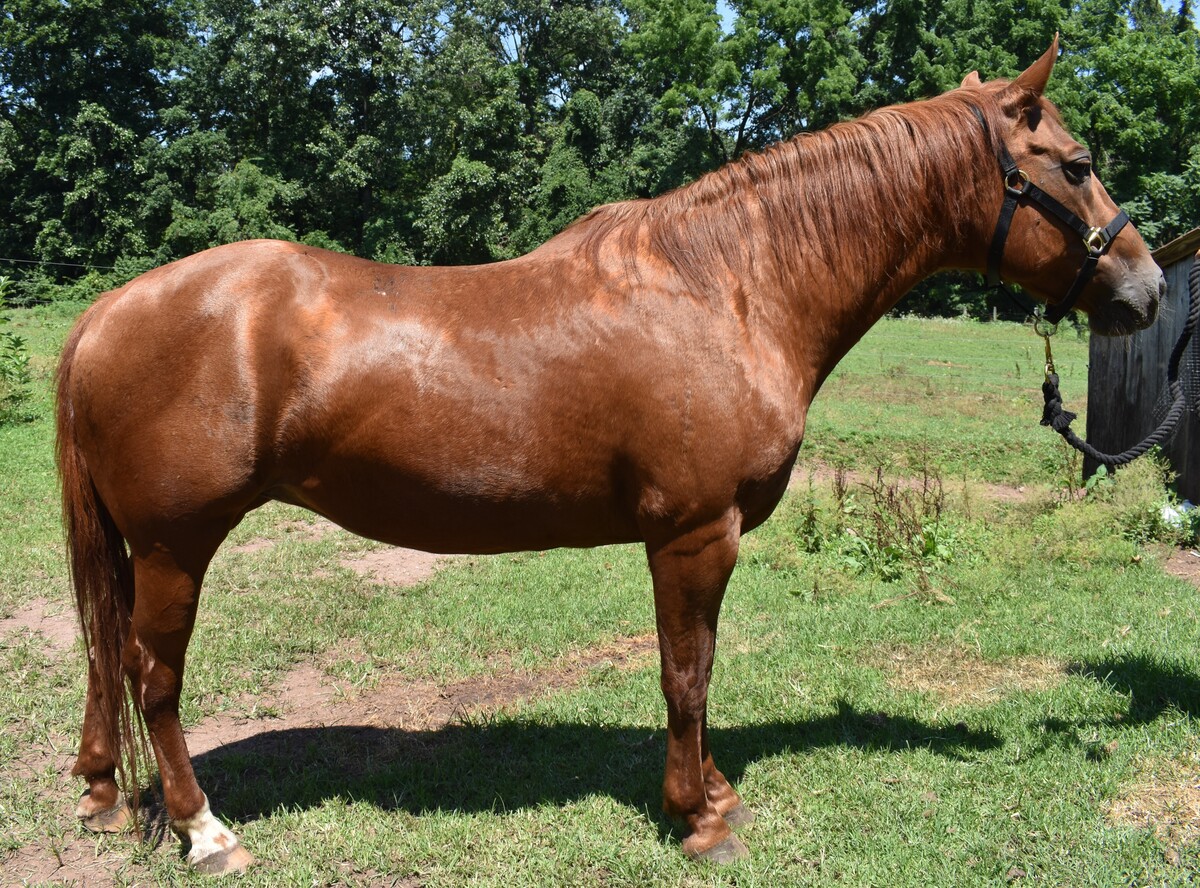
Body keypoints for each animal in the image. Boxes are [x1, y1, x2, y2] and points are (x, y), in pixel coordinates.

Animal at [56, 38, 1163, 874]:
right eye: (1074, 162)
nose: (1147, 290)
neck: (730, 288)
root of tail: (109, 312)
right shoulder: (694, 533)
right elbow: (687, 673)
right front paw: (699, 815)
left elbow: (697, 671)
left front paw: (712, 791)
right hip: (176, 547)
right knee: (153, 675)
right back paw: (204, 831)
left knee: (107, 657)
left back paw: (105, 794)